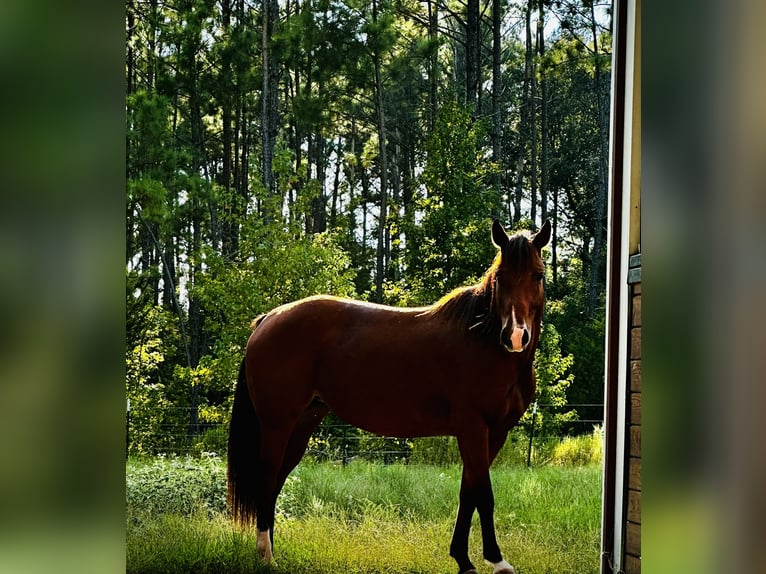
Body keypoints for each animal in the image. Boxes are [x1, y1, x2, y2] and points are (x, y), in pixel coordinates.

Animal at [228, 218, 551, 574]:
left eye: (538, 275)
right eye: (501, 277)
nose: (516, 336)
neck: (484, 341)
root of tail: (268, 319)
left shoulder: (495, 432)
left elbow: (469, 492)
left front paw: (463, 559)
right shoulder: (473, 428)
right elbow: (484, 494)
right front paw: (496, 560)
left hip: (302, 424)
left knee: (276, 481)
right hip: (277, 424)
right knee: (268, 477)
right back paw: (266, 555)